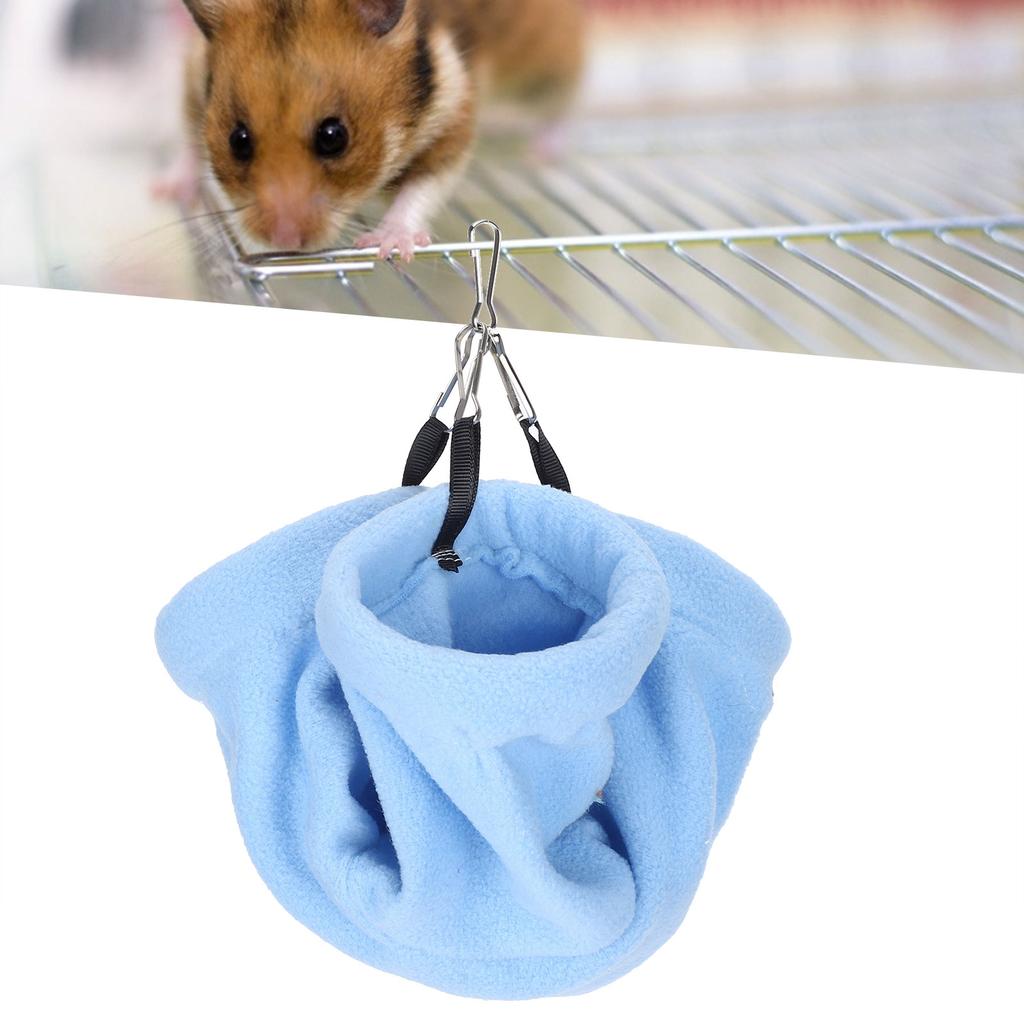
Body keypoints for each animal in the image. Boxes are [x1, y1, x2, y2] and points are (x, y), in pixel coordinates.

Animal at [163, 0, 586, 259]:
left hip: (545, 66)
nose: (284, 241)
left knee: (567, 99)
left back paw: (541, 149)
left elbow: (422, 186)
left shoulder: (454, 120)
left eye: (334, 137)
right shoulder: (191, 75)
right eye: (238, 140)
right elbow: (188, 141)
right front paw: (167, 190)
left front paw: (387, 247)